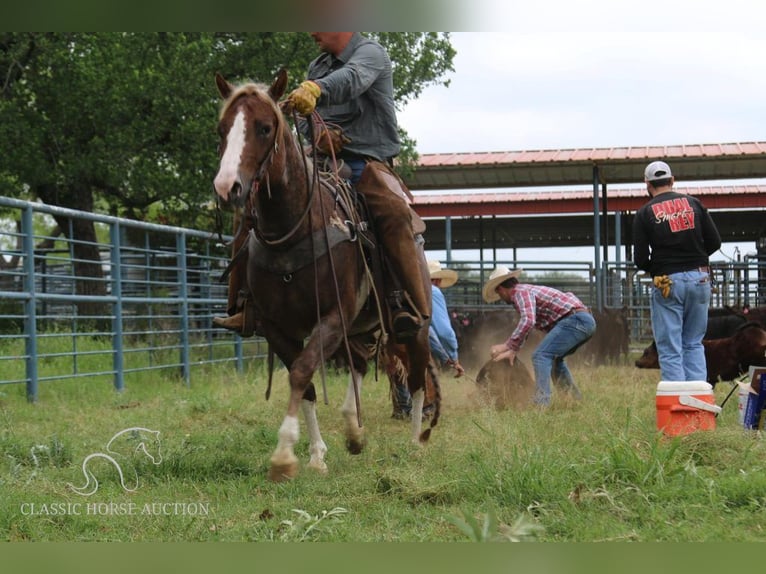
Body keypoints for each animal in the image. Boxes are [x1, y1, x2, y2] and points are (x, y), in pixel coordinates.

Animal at [213, 72, 440, 484]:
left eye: (265, 127)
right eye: (221, 129)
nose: (227, 187)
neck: (293, 230)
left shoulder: (332, 318)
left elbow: (303, 372)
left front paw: (284, 455)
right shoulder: (276, 327)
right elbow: (304, 385)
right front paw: (316, 455)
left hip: (413, 324)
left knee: (416, 377)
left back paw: (415, 442)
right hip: (357, 328)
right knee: (362, 363)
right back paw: (353, 429)